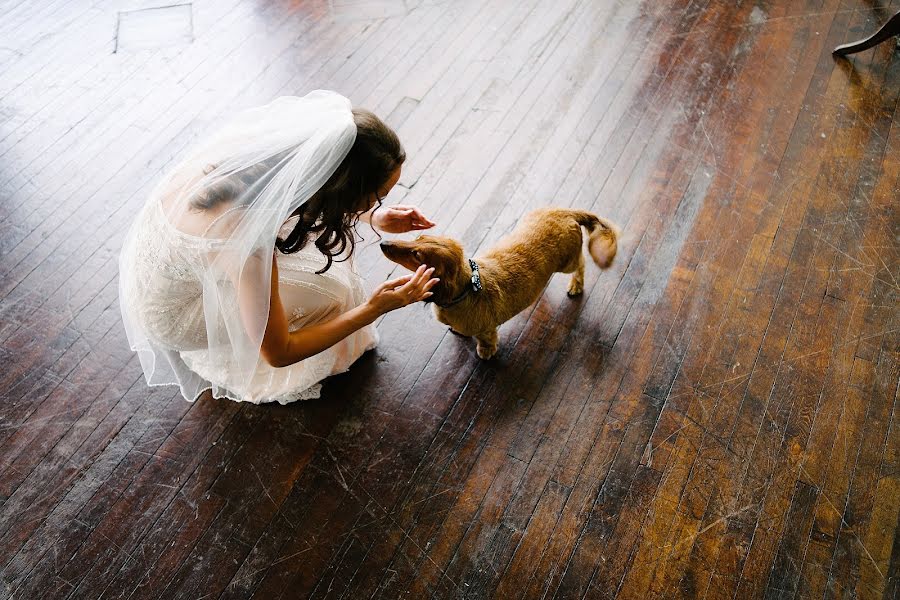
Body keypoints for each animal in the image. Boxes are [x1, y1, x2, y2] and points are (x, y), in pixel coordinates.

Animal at [380, 207, 620, 356]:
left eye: (417, 255)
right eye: (418, 238)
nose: (383, 243)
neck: (468, 287)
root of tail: (566, 212)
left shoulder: (486, 329)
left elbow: (486, 340)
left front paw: (485, 352)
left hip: (567, 262)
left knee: (581, 264)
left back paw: (576, 285)